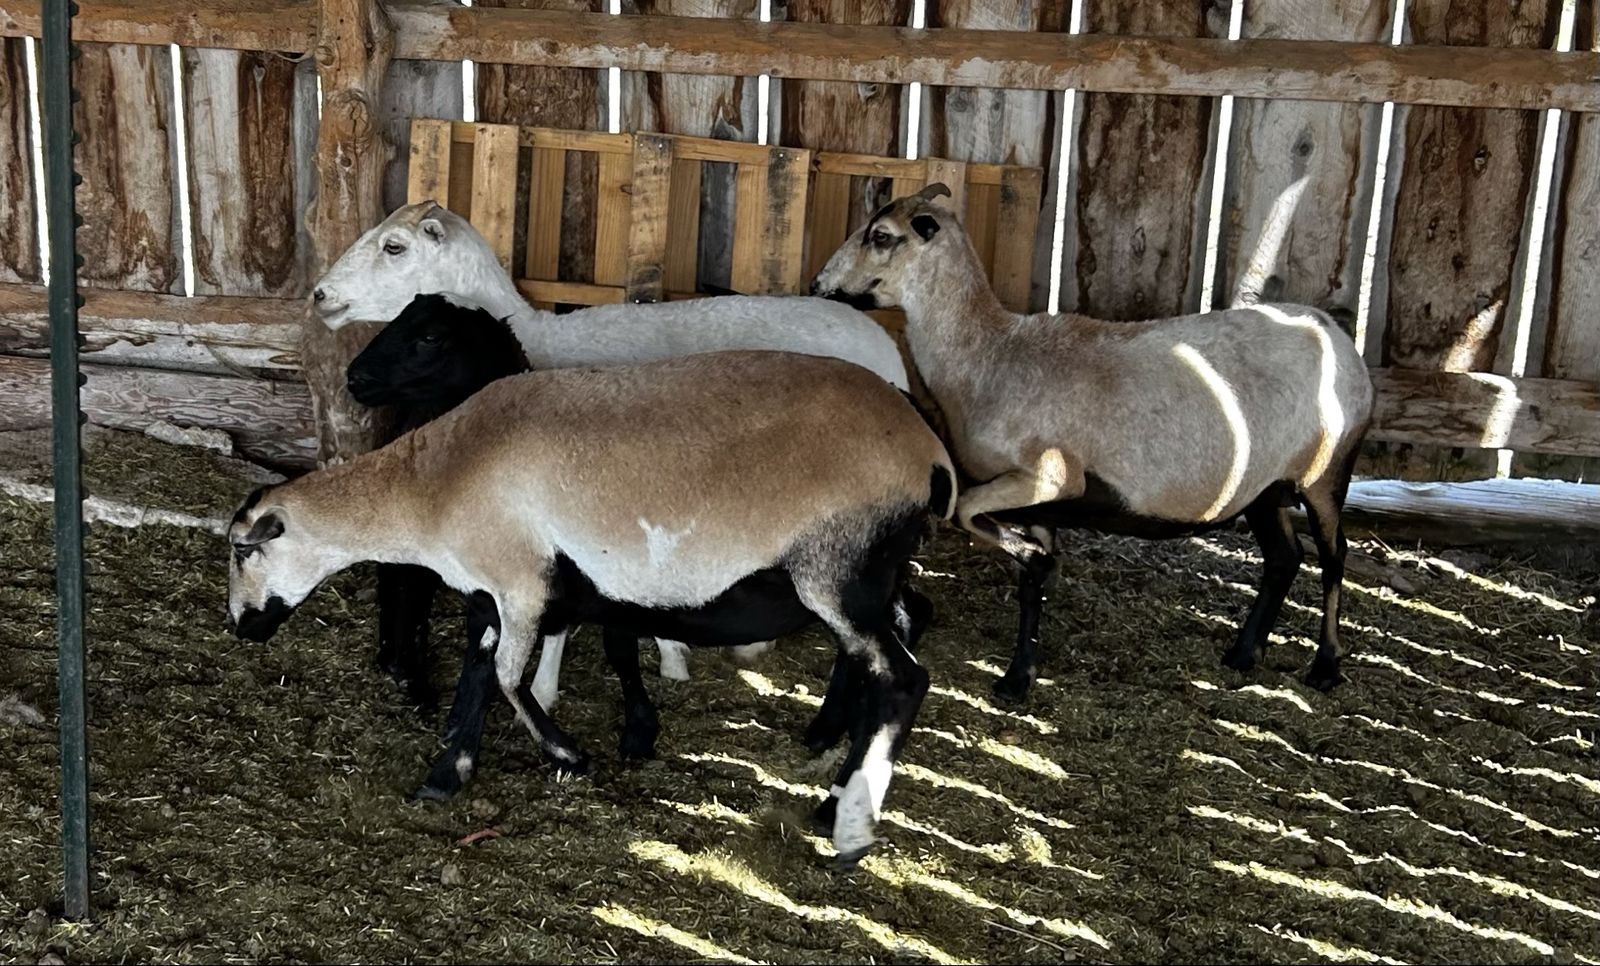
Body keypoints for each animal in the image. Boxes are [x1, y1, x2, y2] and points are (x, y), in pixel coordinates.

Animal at [226, 349, 955, 863]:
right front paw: (446, 774)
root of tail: (928, 451)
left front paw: (568, 756)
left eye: (239, 550)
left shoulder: (521, 581)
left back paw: (849, 826)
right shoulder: (495, 592)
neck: (431, 487)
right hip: (871, 576)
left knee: (903, 678)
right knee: (894, 642)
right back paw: (831, 774)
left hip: (838, 568)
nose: (240, 626)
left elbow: (507, 679)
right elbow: (478, 673)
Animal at [811, 184, 1375, 700]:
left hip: (1327, 470)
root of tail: (1337, 333)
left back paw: (1326, 666)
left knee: (1333, 556)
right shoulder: (1041, 503)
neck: (989, 355)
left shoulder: (1050, 477)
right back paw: (1243, 653)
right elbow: (1031, 583)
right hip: (1265, 486)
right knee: (1284, 557)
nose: (818, 284)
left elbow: (966, 511)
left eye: (881, 235)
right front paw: (1018, 677)